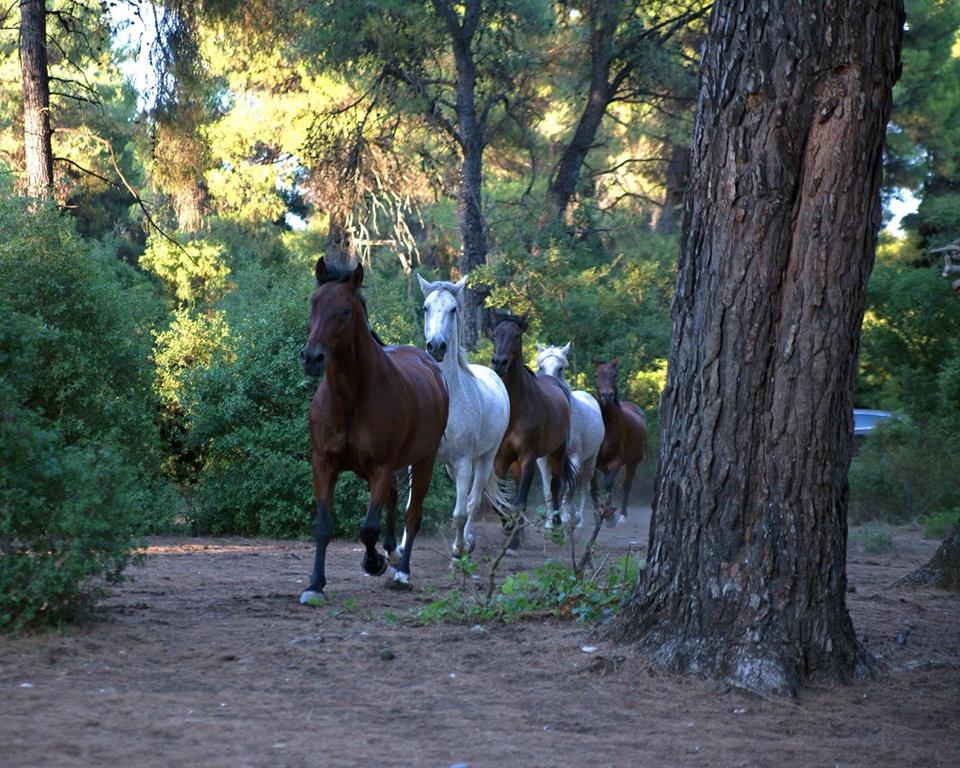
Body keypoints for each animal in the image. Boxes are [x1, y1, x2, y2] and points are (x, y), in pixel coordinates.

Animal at [298, 258, 448, 602]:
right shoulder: (324, 462)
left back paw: (401, 572)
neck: (350, 398)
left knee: (412, 515)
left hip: (424, 460)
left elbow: (368, 528)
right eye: (313, 303)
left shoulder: (381, 466)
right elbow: (323, 524)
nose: (312, 357)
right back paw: (392, 553)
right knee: (392, 498)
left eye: (345, 310)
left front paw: (374, 562)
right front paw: (314, 586)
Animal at [417, 274, 512, 558]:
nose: (436, 346)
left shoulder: (463, 463)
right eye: (425, 307)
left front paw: (459, 550)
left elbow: (460, 513)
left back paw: (467, 543)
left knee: (473, 501)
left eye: (453, 309)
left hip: (484, 459)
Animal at [490, 312, 576, 544]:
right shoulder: (502, 459)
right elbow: (500, 500)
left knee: (555, 487)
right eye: (495, 334)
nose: (499, 363)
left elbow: (520, 500)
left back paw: (556, 530)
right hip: (517, 463)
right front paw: (510, 530)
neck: (516, 407)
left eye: (517, 335)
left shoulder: (529, 457)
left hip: (556, 453)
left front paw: (512, 537)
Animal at [535, 343, 605, 528]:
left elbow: (570, 489)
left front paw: (567, 520)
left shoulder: (574, 456)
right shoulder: (543, 459)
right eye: (541, 367)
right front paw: (550, 523)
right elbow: (548, 490)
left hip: (590, 460)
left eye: (560, 368)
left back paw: (578, 520)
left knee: (584, 487)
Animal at [593, 358, 647, 525]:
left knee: (626, 485)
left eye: (615, 375)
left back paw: (623, 515)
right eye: (597, 375)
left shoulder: (617, 460)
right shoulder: (595, 460)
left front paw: (609, 515)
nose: (607, 396)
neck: (608, 425)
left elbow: (608, 483)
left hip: (633, 461)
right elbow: (595, 485)